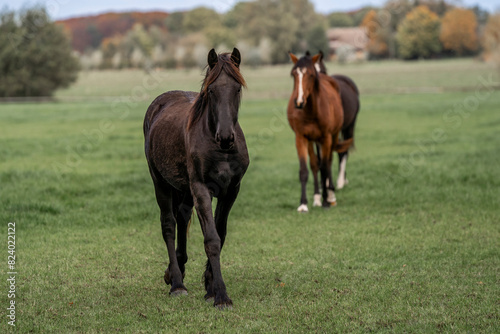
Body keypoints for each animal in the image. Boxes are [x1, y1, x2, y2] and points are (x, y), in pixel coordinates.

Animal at [143, 48, 248, 310]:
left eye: (237, 89)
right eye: (211, 91)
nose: (225, 137)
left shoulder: (231, 190)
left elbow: (221, 234)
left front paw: (210, 289)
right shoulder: (201, 189)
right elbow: (211, 239)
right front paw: (221, 296)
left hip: (184, 189)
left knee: (182, 216)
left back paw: (176, 271)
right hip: (160, 182)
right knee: (169, 225)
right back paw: (177, 284)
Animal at [288, 52, 354, 214]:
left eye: (311, 75)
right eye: (293, 74)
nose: (299, 102)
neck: (311, 111)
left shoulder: (326, 138)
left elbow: (324, 167)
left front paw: (326, 200)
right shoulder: (301, 138)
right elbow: (305, 169)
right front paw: (303, 204)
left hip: (333, 135)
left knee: (329, 161)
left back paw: (330, 195)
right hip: (312, 140)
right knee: (315, 164)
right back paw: (317, 197)